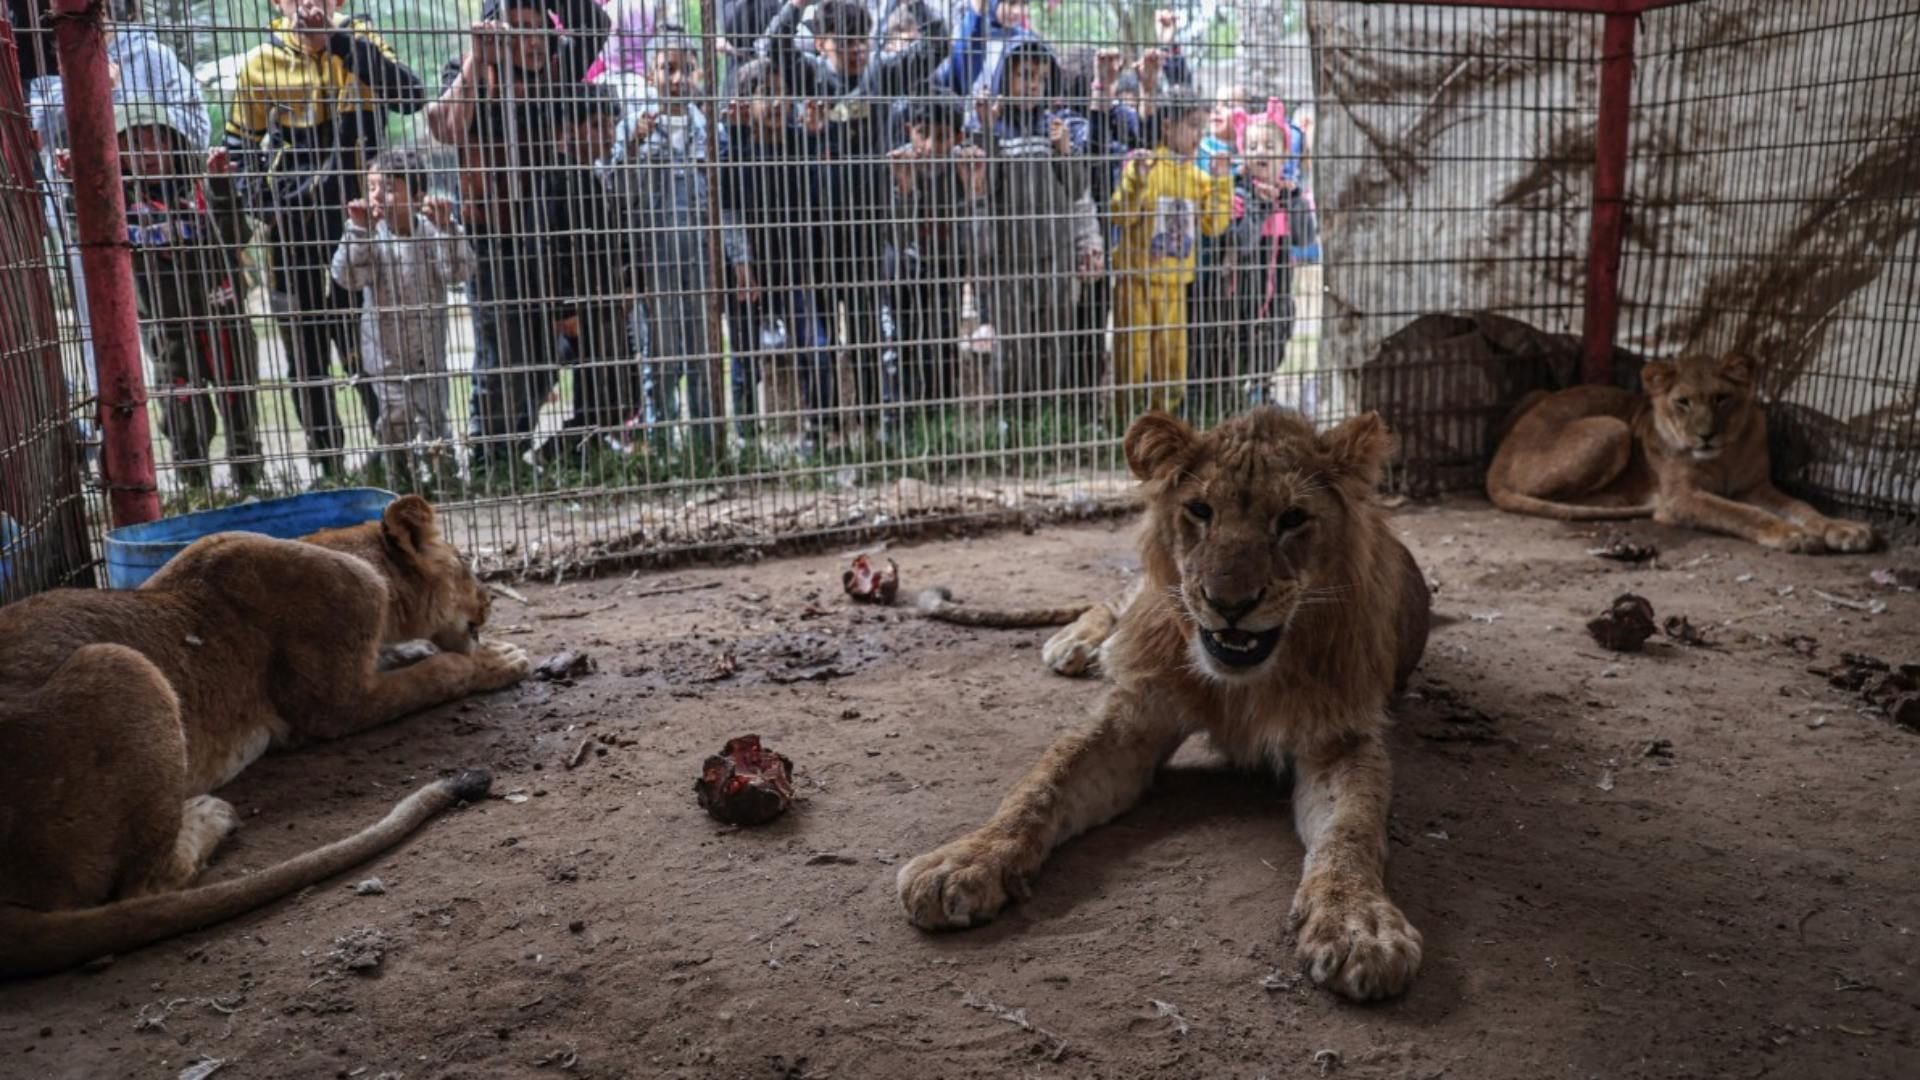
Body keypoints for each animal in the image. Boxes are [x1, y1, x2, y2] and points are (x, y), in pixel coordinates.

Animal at [0, 495, 529, 976]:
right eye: (466, 565)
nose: (491, 600)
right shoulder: (336, 706)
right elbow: (437, 673)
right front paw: (496, 661)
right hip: (121, 664)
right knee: (142, 886)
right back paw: (210, 814)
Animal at [894, 407, 1428, 999]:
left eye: (1292, 518)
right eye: (1200, 510)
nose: (1229, 605)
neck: (1245, 680)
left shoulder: (1340, 738)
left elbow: (1351, 830)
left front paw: (1358, 924)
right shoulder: (1135, 714)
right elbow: (1041, 784)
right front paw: (968, 859)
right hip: (1145, 596)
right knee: (1111, 600)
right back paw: (1079, 643)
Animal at [1482, 351, 1873, 549]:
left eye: (1721, 398)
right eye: (1683, 402)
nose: (1705, 436)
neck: (1724, 457)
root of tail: (1497, 459)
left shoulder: (1756, 487)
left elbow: (1802, 506)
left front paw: (1845, 529)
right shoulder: (1682, 497)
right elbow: (1740, 513)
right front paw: (1791, 534)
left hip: (1541, 397)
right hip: (1613, 427)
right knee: (1552, 498)